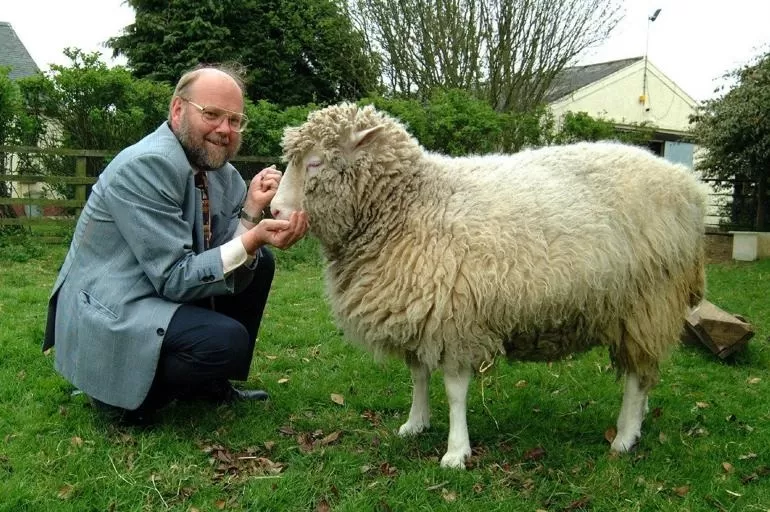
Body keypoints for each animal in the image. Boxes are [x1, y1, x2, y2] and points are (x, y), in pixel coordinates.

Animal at [268, 102, 704, 470]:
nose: (274, 210)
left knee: (636, 376)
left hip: (647, 301)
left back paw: (625, 435)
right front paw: (416, 423)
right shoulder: (417, 309)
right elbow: (418, 376)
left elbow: (454, 391)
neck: (410, 204)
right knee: (644, 372)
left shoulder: (453, 317)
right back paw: (639, 422)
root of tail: (687, 185)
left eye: (315, 162)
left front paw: (456, 451)